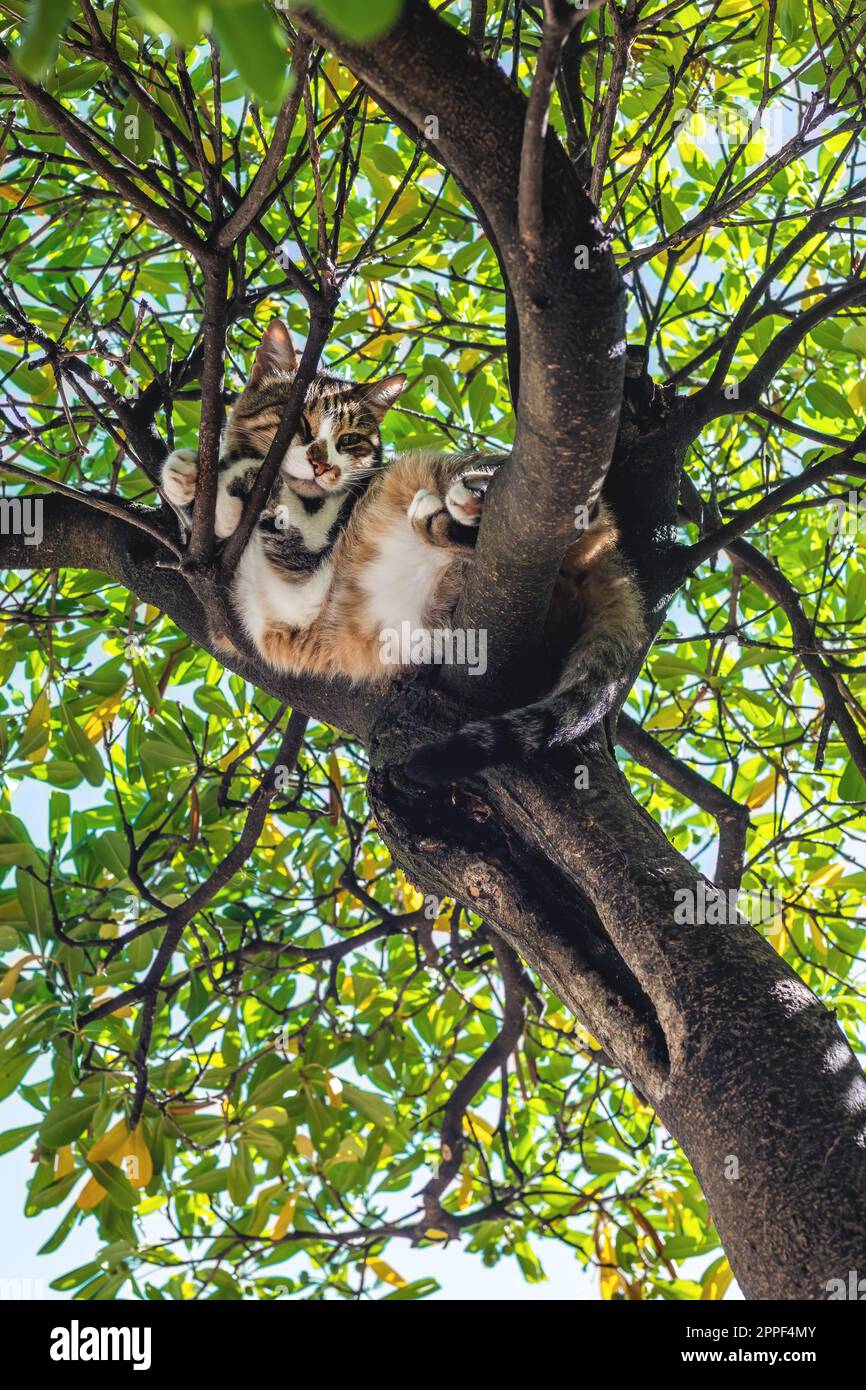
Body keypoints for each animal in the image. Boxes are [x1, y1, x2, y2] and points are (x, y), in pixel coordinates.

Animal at [162, 318, 647, 789]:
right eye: (298, 422)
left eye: (351, 440)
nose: (322, 465)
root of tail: (616, 563)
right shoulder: (239, 615)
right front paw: (186, 479)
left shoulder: (310, 555)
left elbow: (269, 484)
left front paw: (217, 480)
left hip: (457, 475)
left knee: (563, 505)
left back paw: (466, 500)